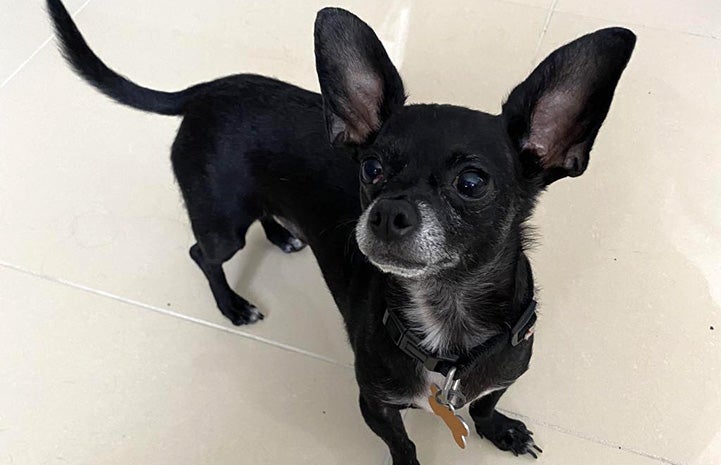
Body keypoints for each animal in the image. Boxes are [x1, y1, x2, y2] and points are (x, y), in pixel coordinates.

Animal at [46, 1, 632, 462]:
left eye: (471, 182)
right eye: (370, 169)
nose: (387, 212)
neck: (447, 322)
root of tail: (206, 91)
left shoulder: (506, 372)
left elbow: (488, 401)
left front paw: (502, 431)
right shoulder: (374, 405)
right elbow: (404, 444)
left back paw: (283, 235)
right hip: (222, 221)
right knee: (202, 252)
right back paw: (232, 305)